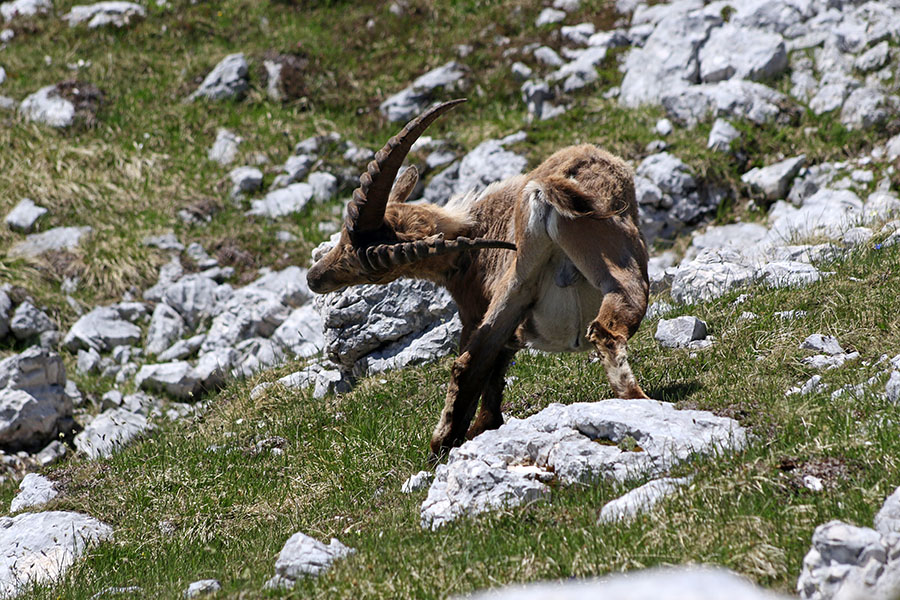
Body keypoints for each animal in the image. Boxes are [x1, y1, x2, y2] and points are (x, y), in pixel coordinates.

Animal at [307, 98, 650, 457]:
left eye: (372, 272)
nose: (314, 278)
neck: (474, 230)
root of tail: (546, 190)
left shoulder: (474, 309)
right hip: (538, 281)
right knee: (477, 361)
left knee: (472, 363)